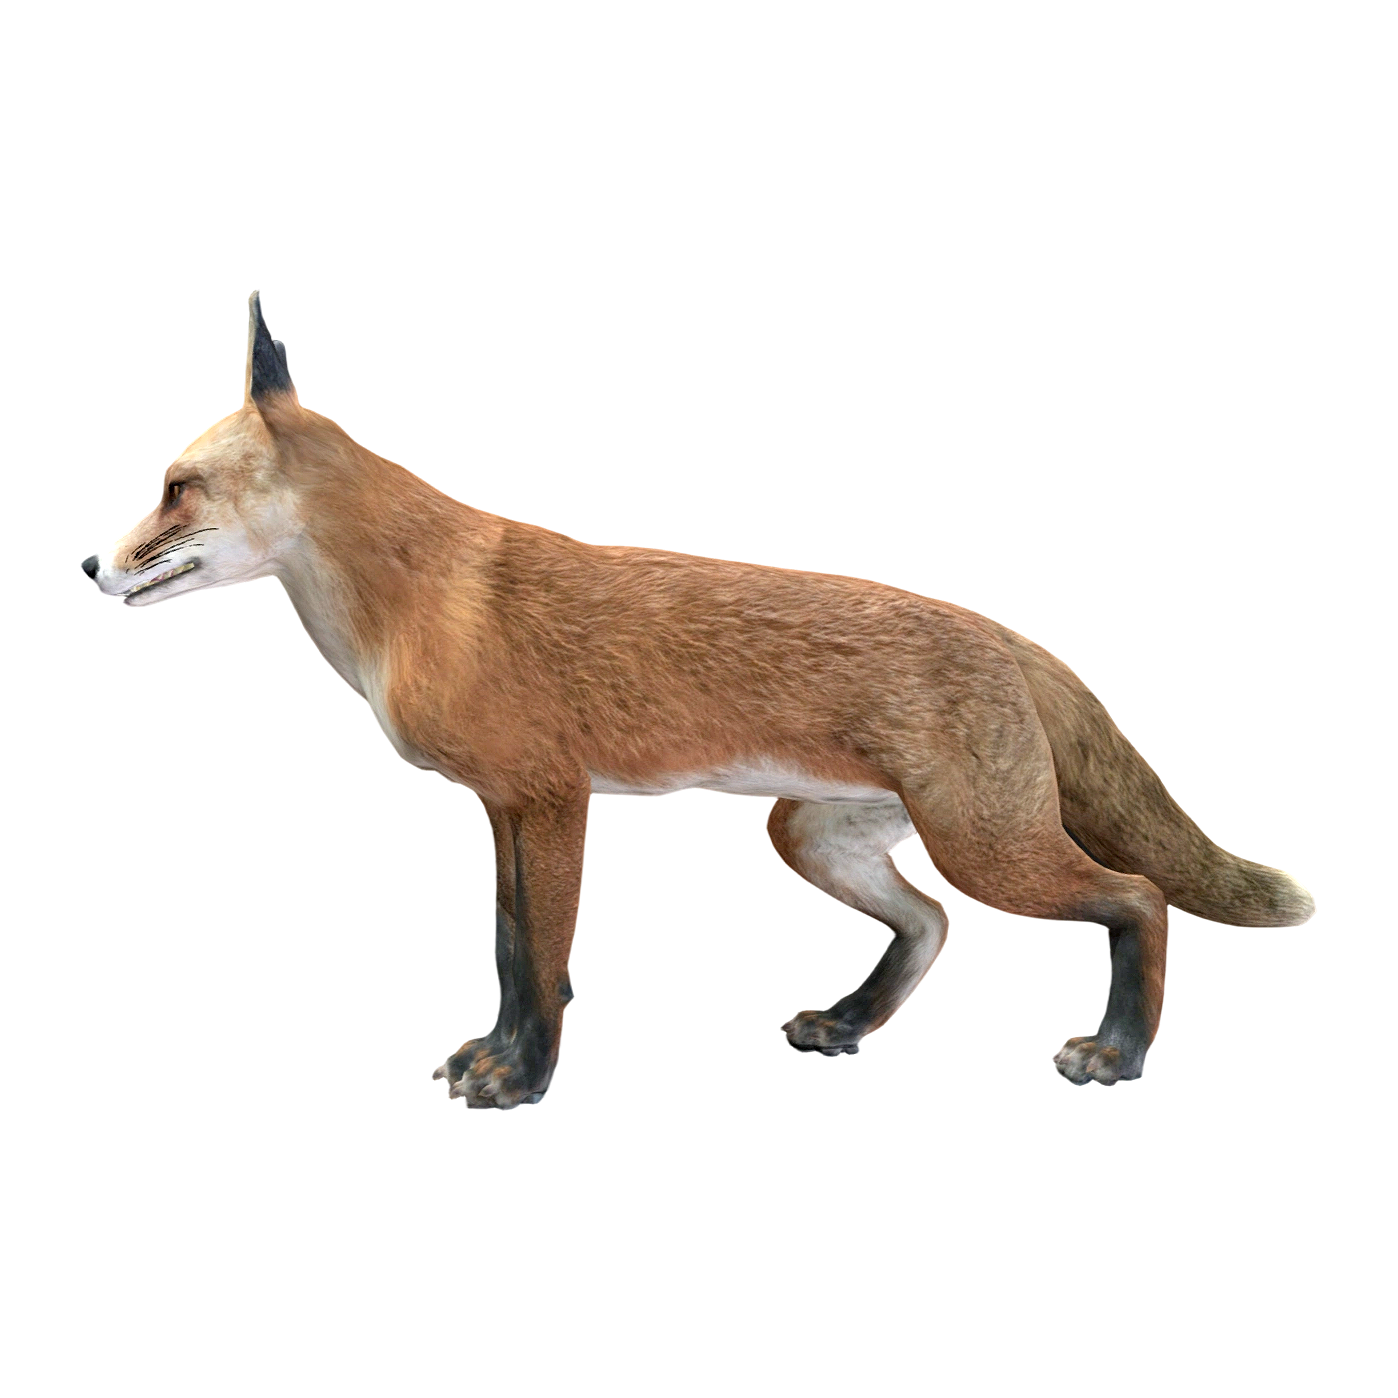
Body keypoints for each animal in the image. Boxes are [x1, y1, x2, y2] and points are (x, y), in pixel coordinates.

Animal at [82, 291, 1316, 1110]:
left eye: (173, 490)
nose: (92, 573)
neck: (412, 602)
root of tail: (1008, 634)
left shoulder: (547, 798)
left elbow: (542, 968)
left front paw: (518, 1079)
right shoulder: (507, 808)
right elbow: (509, 953)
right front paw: (493, 1061)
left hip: (992, 847)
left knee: (1139, 899)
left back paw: (1118, 1054)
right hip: (822, 839)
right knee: (926, 921)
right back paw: (845, 1025)